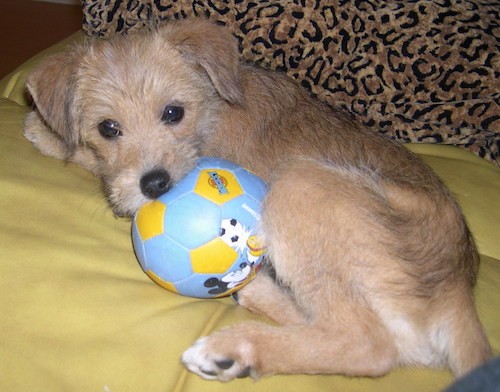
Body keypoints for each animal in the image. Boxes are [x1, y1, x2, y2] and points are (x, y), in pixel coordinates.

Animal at [22, 17, 488, 380]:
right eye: (108, 128)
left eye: (173, 112)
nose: (155, 185)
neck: (212, 106)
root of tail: (457, 290)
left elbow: (78, 153)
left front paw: (44, 132)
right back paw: (257, 292)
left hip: (301, 184)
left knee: (368, 345)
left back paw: (235, 348)